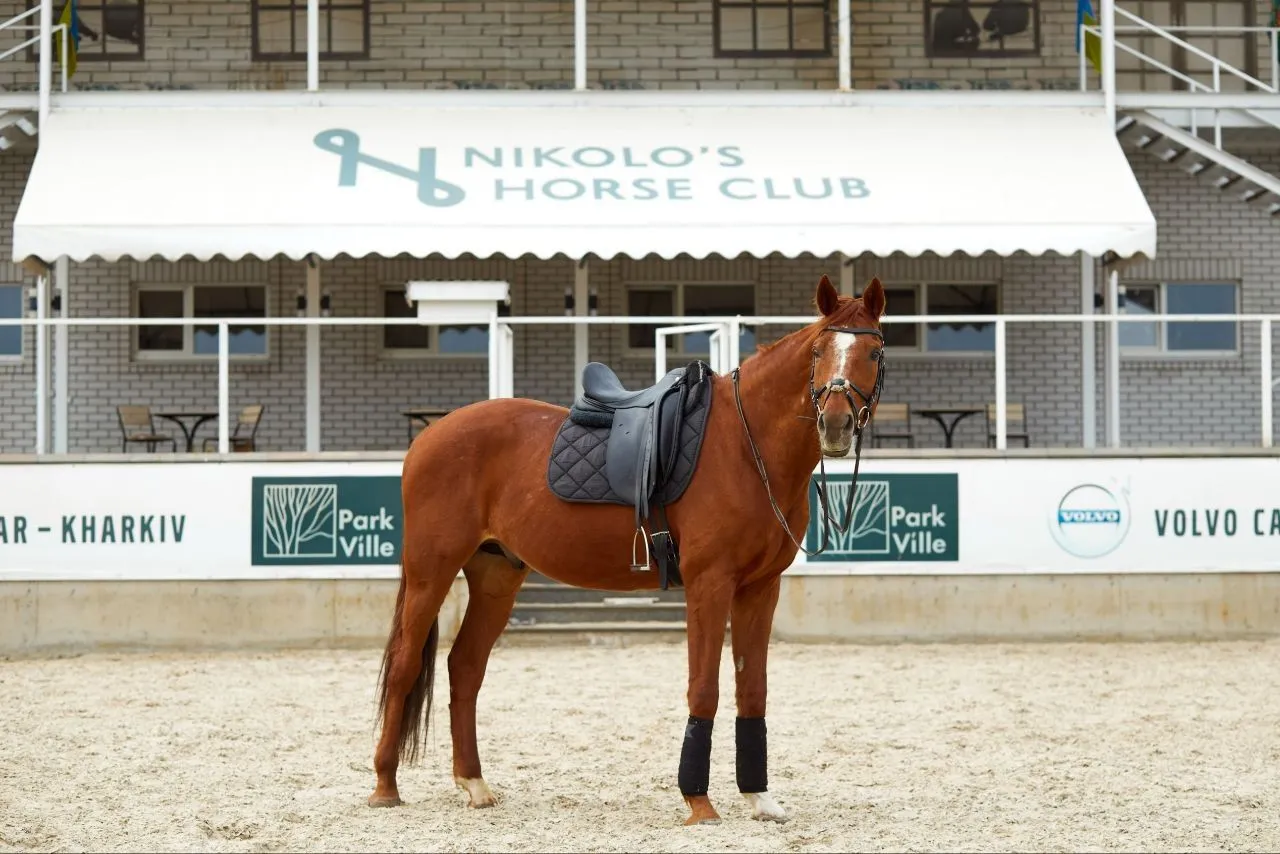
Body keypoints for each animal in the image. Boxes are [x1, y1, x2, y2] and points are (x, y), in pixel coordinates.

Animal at [368, 273, 888, 826]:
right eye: (817, 351)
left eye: (874, 352)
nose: (835, 424)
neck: (748, 449)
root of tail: (429, 436)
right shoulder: (709, 583)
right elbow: (704, 686)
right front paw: (699, 802)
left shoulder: (760, 589)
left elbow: (753, 689)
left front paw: (760, 797)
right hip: (432, 571)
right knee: (404, 665)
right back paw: (385, 786)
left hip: (495, 576)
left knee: (464, 668)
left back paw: (474, 783)